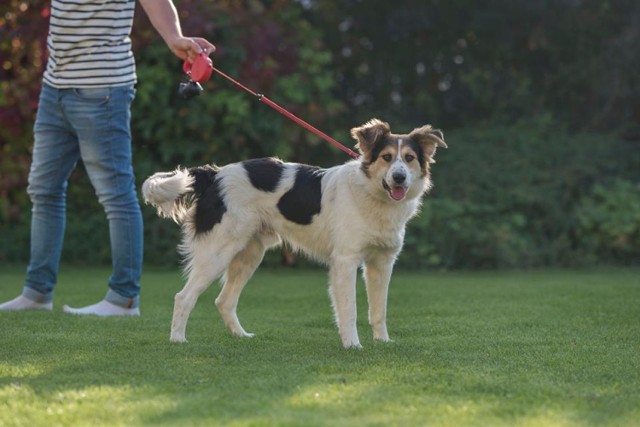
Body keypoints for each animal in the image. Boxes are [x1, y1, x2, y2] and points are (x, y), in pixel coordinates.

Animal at [142, 118, 448, 350]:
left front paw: (382, 342)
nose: (399, 178)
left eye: (409, 159)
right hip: (218, 251)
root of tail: (214, 174)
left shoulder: (382, 263)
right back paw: (178, 340)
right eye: (386, 158)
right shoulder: (345, 261)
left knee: (224, 301)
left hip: (249, 254)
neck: (373, 194)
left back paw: (241, 336)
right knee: (184, 297)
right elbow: (349, 309)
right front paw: (352, 345)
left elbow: (379, 310)